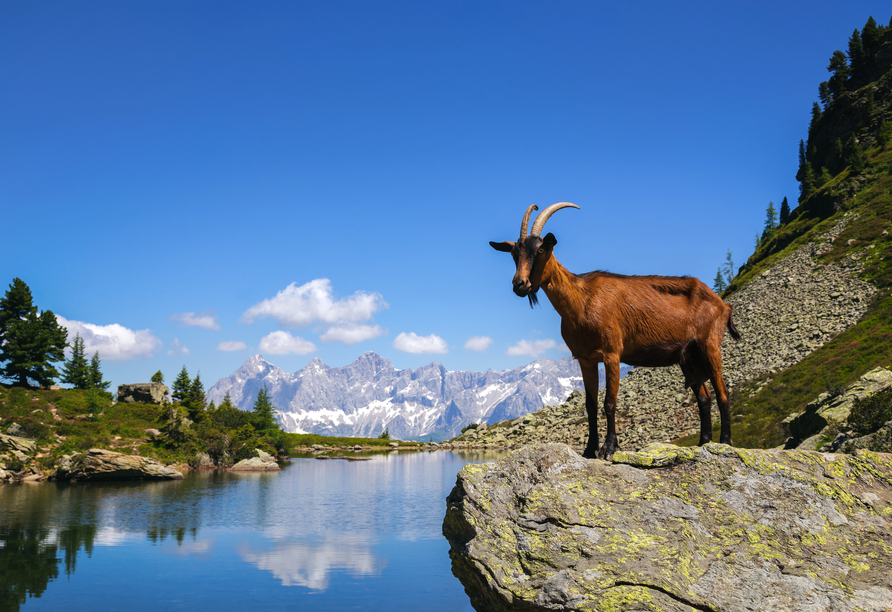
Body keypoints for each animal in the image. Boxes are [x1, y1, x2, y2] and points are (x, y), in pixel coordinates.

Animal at [492, 202, 744, 460]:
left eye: (541, 250)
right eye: (514, 254)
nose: (519, 284)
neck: (581, 301)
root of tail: (723, 304)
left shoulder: (612, 354)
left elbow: (609, 403)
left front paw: (609, 448)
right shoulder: (586, 359)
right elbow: (590, 405)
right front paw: (589, 449)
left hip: (709, 346)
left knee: (723, 393)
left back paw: (725, 443)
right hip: (689, 358)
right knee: (704, 397)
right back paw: (703, 444)